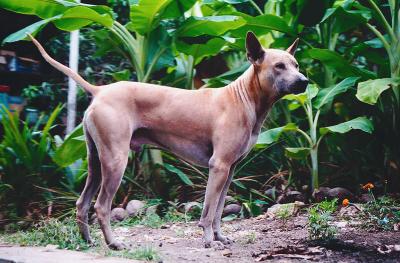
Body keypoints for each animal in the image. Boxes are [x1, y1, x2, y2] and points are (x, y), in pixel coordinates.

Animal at [29, 32, 308, 251]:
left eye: (295, 64)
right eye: (279, 66)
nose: (304, 81)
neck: (243, 98)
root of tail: (101, 90)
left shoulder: (230, 171)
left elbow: (219, 210)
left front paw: (219, 237)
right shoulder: (217, 167)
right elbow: (208, 211)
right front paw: (209, 240)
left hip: (96, 163)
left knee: (82, 203)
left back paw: (87, 241)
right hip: (115, 162)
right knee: (101, 206)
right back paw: (114, 243)